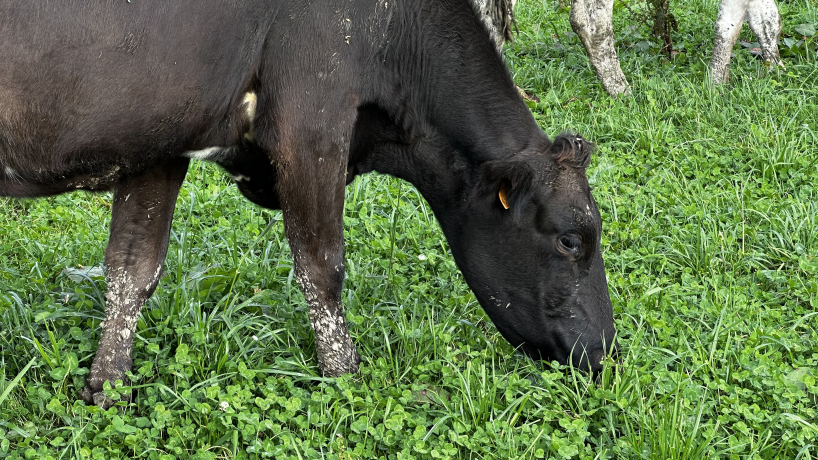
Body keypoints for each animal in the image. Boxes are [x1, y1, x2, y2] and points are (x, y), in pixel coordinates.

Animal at [0, 0, 616, 408]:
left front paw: (107, 386)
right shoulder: (311, 122)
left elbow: (134, 266)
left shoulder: (161, 137)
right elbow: (323, 266)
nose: (604, 352)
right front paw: (345, 374)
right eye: (571, 239)